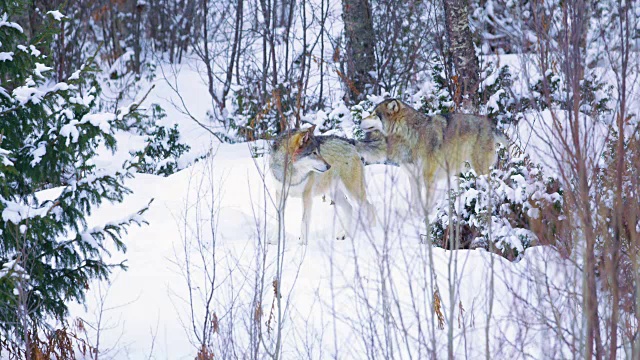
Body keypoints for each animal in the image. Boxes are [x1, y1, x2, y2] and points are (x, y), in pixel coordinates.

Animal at [360, 98, 504, 210]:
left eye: (374, 114)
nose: (360, 120)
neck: (409, 135)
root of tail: (491, 124)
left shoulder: (428, 177)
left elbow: (427, 204)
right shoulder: (413, 178)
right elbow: (415, 203)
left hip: (479, 168)